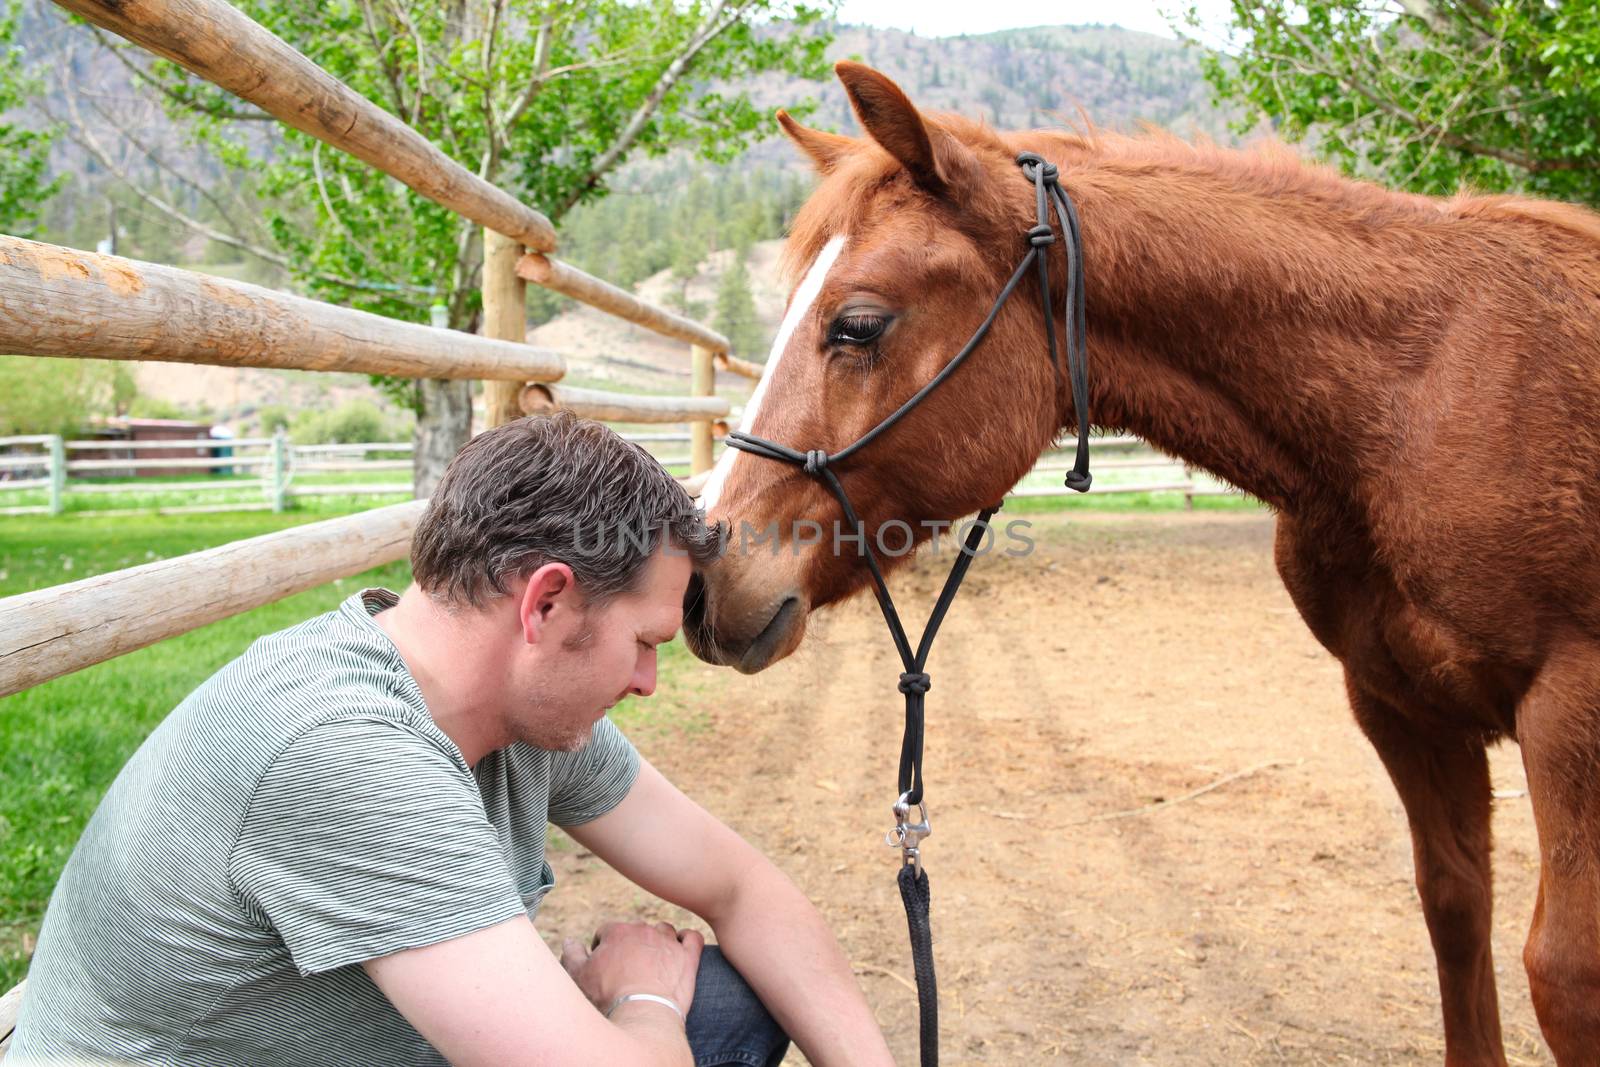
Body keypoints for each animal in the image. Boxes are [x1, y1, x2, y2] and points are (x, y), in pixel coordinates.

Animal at [691, 62, 1600, 1062]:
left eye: (857, 324)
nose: (704, 575)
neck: (1422, 397)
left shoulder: (1572, 709)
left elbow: (1565, 971)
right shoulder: (1399, 706)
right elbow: (1454, 907)